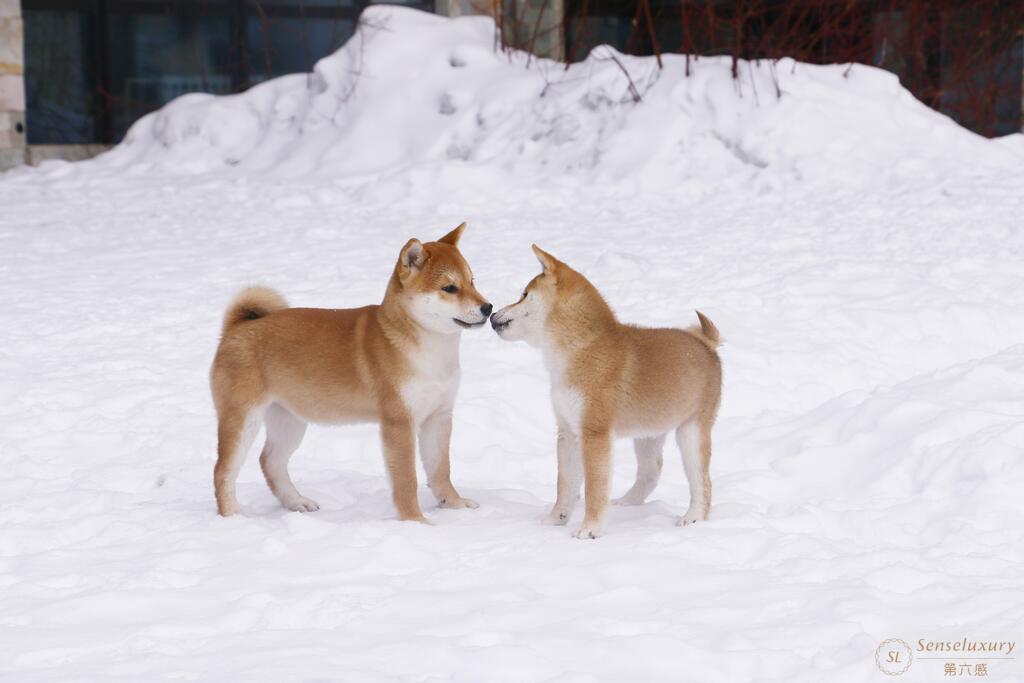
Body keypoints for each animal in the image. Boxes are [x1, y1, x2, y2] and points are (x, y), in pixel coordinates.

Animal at [209, 222, 489, 520]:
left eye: (472, 281)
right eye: (449, 288)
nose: (488, 307)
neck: (430, 350)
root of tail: (237, 327)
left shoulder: (438, 416)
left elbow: (441, 470)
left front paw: (454, 505)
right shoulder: (398, 422)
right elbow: (406, 480)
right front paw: (415, 521)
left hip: (289, 420)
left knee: (270, 461)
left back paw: (296, 502)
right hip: (243, 418)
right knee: (223, 470)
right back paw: (232, 515)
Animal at [487, 245, 720, 540]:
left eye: (524, 295)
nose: (492, 314)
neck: (580, 349)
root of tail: (706, 343)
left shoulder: (594, 433)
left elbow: (593, 488)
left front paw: (590, 528)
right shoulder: (568, 432)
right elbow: (565, 485)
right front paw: (555, 520)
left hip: (691, 431)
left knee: (703, 482)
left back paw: (693, 518)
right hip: (648, 433)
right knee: (651, 472)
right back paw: (627, 503)